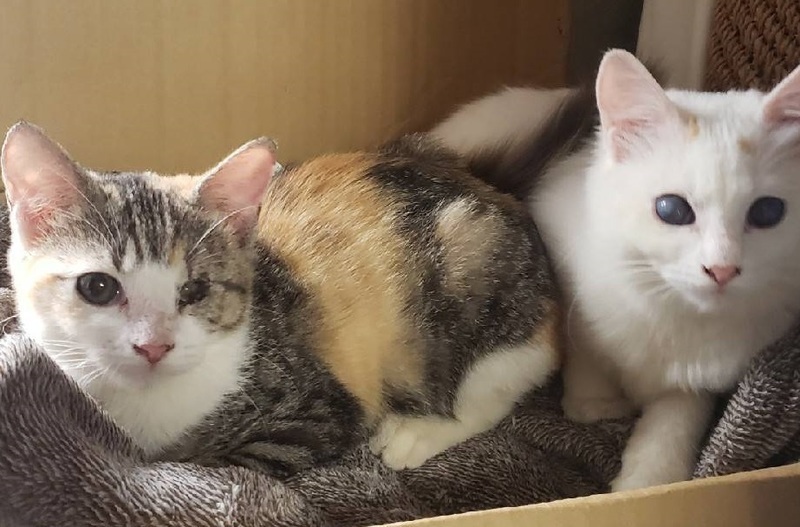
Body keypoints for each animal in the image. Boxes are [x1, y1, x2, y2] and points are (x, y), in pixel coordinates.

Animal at [0, 121, 560, 474]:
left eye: (195, 290)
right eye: (98, 287)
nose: (153, 347)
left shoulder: (314, 414)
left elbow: (213, 468)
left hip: (473, 268)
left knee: (498, 382)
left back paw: (416, 431)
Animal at [431, 49, 800, 490]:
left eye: (767, 212)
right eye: (672, 209)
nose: (722, 269)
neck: (674, 314)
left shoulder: (704, 378)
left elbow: (675, 420)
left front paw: (650, 480)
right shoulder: (566, 270)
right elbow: (586, 347)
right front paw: (595, 404)